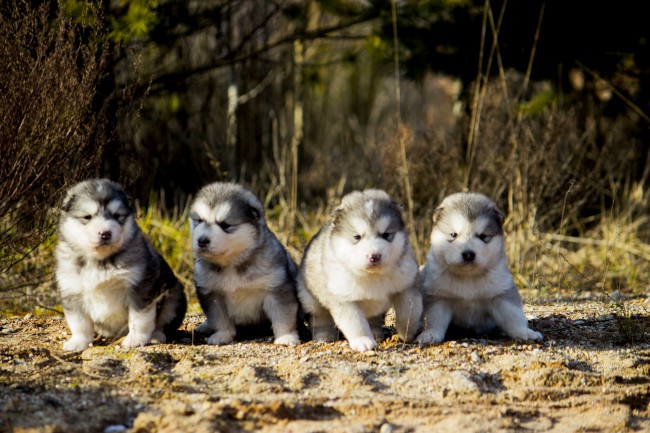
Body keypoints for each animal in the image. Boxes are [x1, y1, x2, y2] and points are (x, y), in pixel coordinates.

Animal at [54, 179, 186, 352]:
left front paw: (136, 339)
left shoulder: (139, 286)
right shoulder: (71, 290)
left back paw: (156, 335)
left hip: (173, 296)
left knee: (163, 323)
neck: (100, 260)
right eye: (87, 217)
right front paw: (77, 342)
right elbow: (79, 323)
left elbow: (139, 318)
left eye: (117, 216)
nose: (105, 233)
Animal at [187, 181, 298, 344]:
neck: (232, 262)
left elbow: (283, 316)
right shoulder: (212, 294)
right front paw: (222, 335)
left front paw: (286, 337)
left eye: (225, 225)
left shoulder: (276, 289)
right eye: (199, 221)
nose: (202, 241)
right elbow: (219, 318)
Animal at [294, 189, 420, 352]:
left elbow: (408, 312)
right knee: (321, 319)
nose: (374, 256)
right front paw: (363, 341)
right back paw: (324, 336)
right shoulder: (344, 299)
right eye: (357, 237)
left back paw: (376, 332)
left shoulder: (406, 285)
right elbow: (356, 323)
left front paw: (407, 332)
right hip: (311, 300)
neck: (373, 275)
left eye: (386, 235)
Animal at [416, 192, 540, 344]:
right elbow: (435, 320)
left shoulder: (501, 293)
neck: (468, 277)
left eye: (483, 236)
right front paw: (431, 334)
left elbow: (513, 316)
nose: (468, 254)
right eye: (453, 234)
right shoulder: (439, 297)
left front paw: (525, 332)